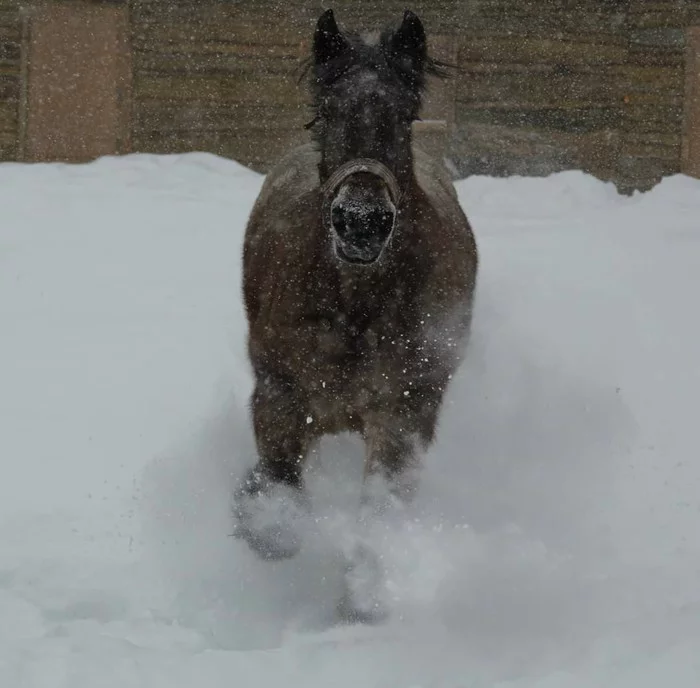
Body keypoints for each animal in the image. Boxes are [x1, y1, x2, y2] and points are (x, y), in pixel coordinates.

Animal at [232, 5, 478, 616]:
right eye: (327, 110)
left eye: (405, 114)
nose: (361, 220)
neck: (356, 308)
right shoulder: (279, 395)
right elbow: (279, 494)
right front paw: (260, 519)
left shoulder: (405, 411)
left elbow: (380, 513)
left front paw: (363, 599)